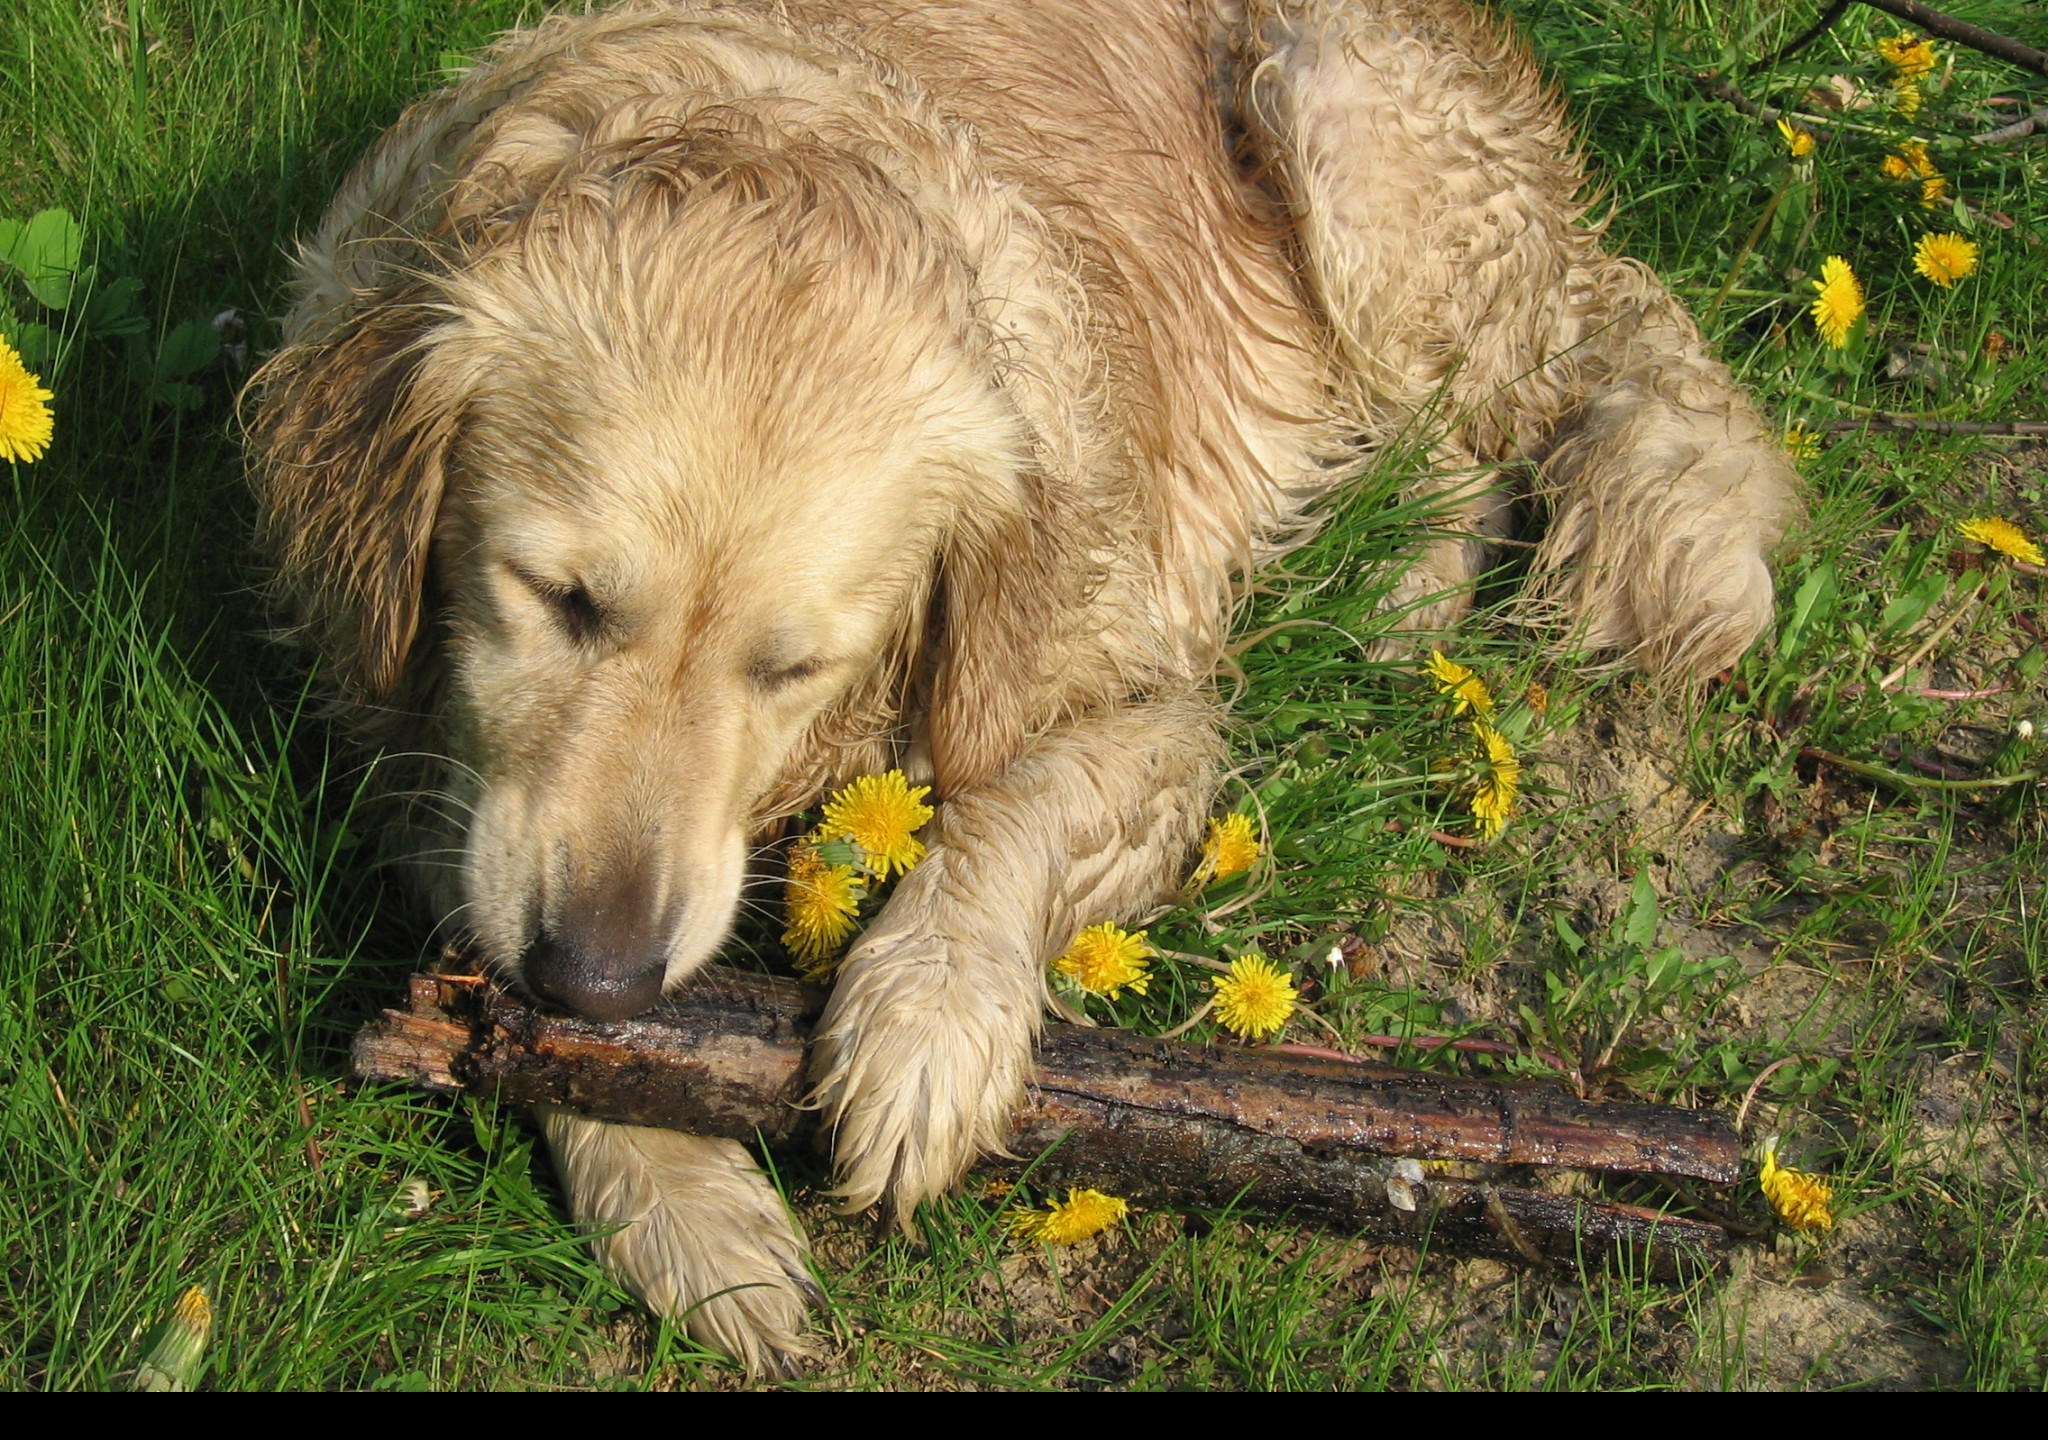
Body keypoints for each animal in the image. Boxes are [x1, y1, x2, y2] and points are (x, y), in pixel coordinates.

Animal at [251, 0, 1794, 1376]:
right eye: (557, 598)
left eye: (790, 667)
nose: (600, 974)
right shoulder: (403, 723)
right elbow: (500, 975)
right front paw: (685, 1202)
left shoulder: (1146, 701)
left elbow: (1021, 801)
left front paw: (928, 1019)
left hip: (1343, 129)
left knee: (1518, 403)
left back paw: (1414, 580)